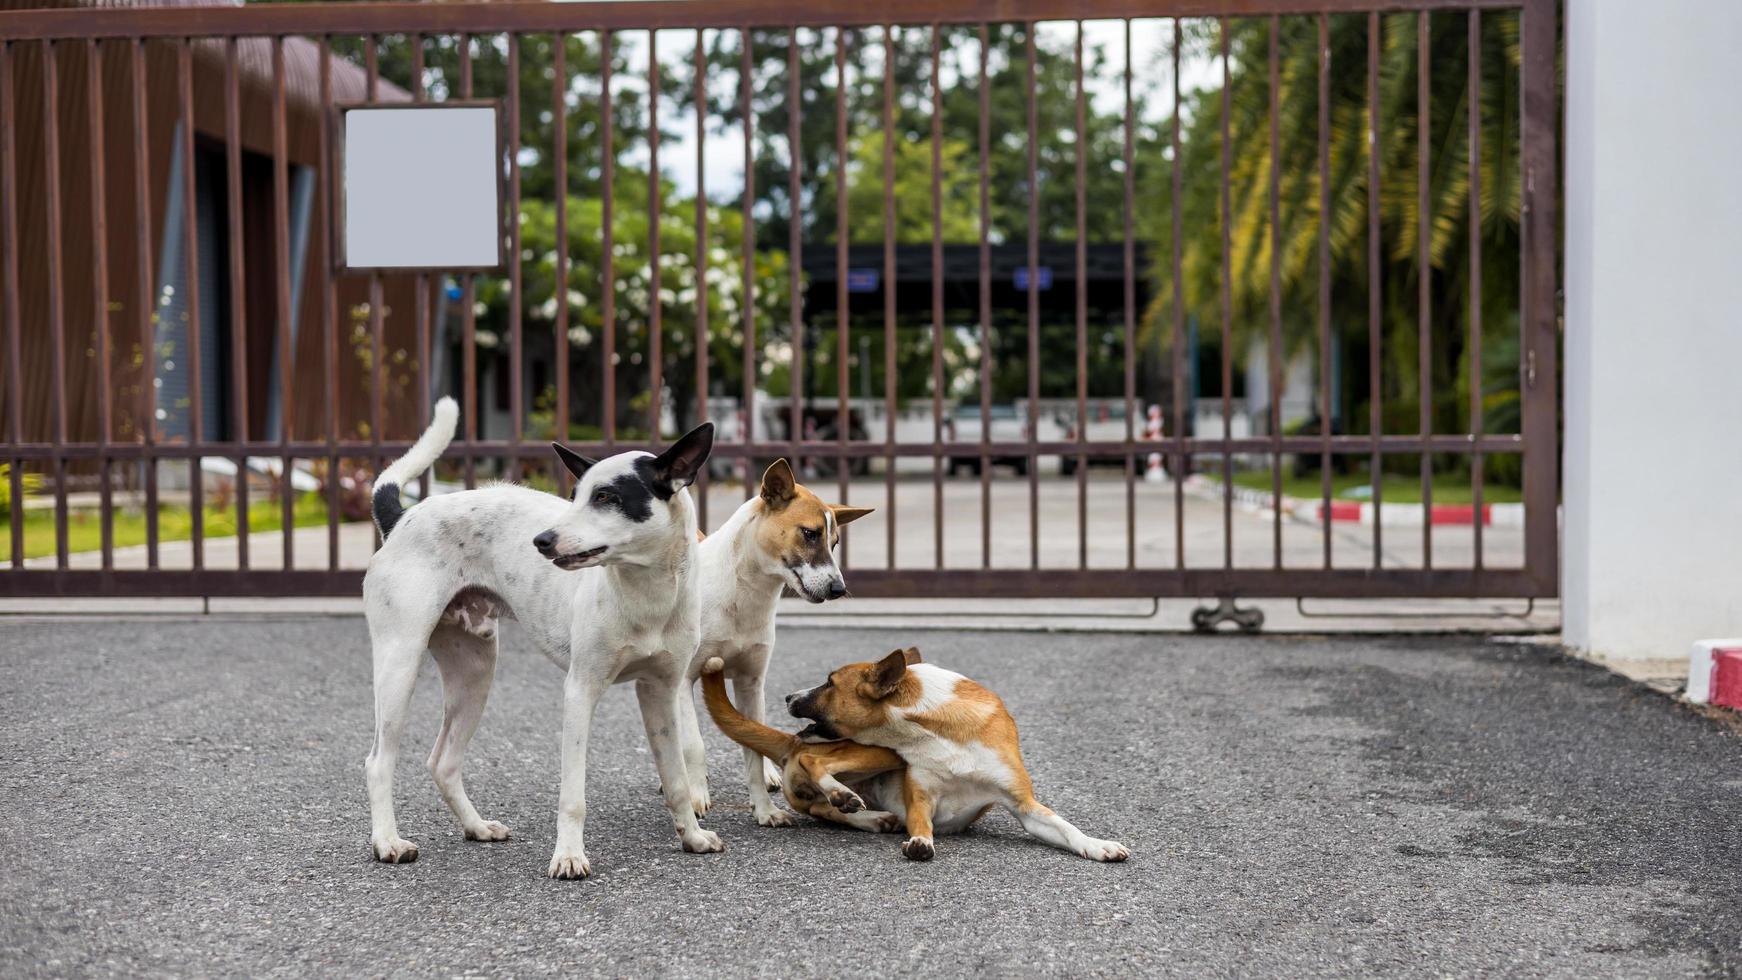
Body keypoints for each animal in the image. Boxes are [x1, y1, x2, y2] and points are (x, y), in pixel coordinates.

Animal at [364, 398, 724, 880]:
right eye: (575, 496)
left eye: (606, 497)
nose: (542, 541)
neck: (645, 593)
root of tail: (403, 517)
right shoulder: (580, 692)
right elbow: (573, 796)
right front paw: (569, 855)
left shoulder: (661, 693)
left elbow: (678, 779)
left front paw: (692, 837)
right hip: (399, 665)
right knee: (379, 762)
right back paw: (387, 841)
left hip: (474, 675)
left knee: (443, 762)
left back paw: (476, 827)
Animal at [679, 459, 871, 828]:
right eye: (809, 534)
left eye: (835, 543)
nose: (839, 589)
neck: (744, 592)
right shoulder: (683, 679)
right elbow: (694, 745)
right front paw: (695, 796)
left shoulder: (751, 681)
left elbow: (752, 746)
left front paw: (765, 810)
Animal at [703, 651, 1128, 866]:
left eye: (829, 682)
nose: (788, 696)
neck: (938, 728)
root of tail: (789, 743)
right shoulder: (920, 795)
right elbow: (921, 822)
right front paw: (920, 842)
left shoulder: (1023, 804)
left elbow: (1067, 828)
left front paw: (1098, 845)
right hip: (877, 752)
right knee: (815, 766)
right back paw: (850, 800)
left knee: (823, 807)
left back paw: (870, 817)